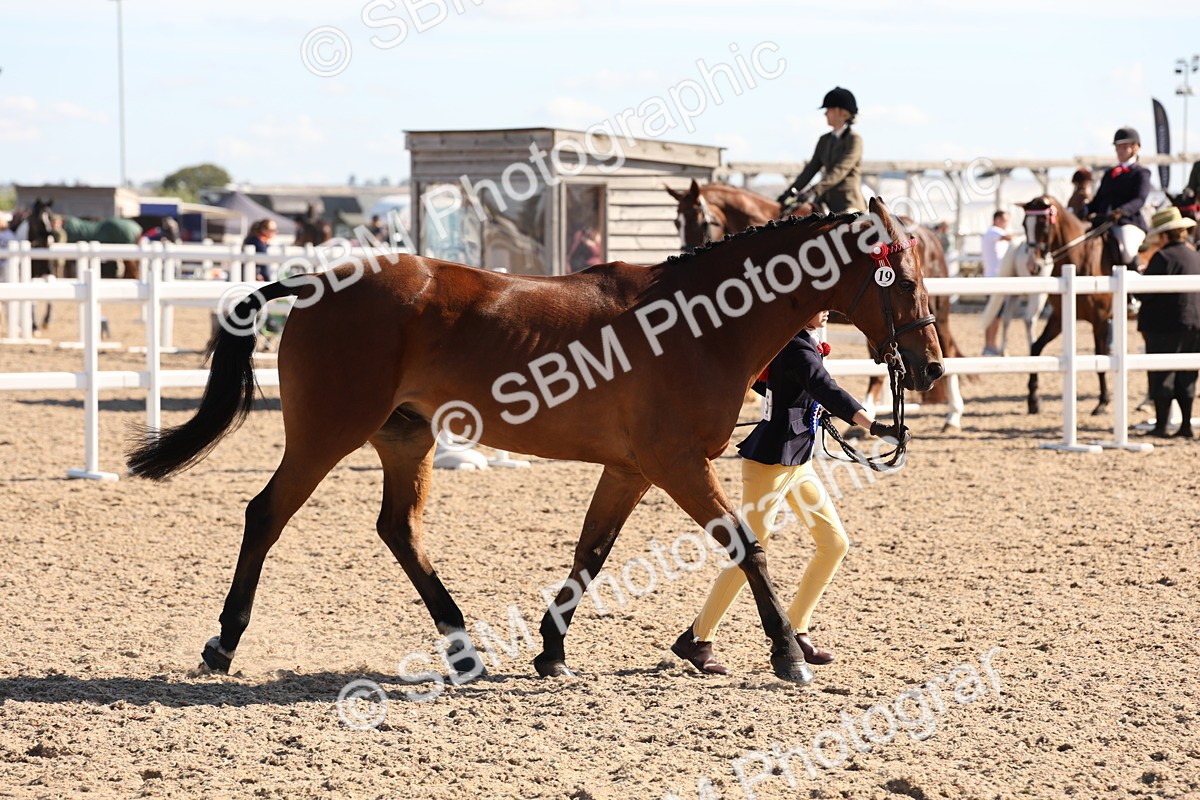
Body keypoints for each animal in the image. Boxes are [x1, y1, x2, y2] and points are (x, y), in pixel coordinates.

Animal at [126, 196, 943, 685]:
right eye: (900, 277)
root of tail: (318, 281)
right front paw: (787, 656)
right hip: (327, 434)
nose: (931, 367)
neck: (699, 322)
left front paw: (552, 650)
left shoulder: (631, 469)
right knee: (266, 515)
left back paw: (462, 650)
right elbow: (747, 546)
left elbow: (591, 554)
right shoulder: (677, 465)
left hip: (406, 439)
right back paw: (223, 644)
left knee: (399, 531)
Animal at [1020, 196, 1113, 415]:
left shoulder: (1101, 320)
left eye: (1044, 224)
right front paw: (1033, 400)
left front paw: (1103, 402)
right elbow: (1036, 347)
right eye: (1024, 225)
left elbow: (1100, 356)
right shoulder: (1060, 317)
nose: (1032, 266)